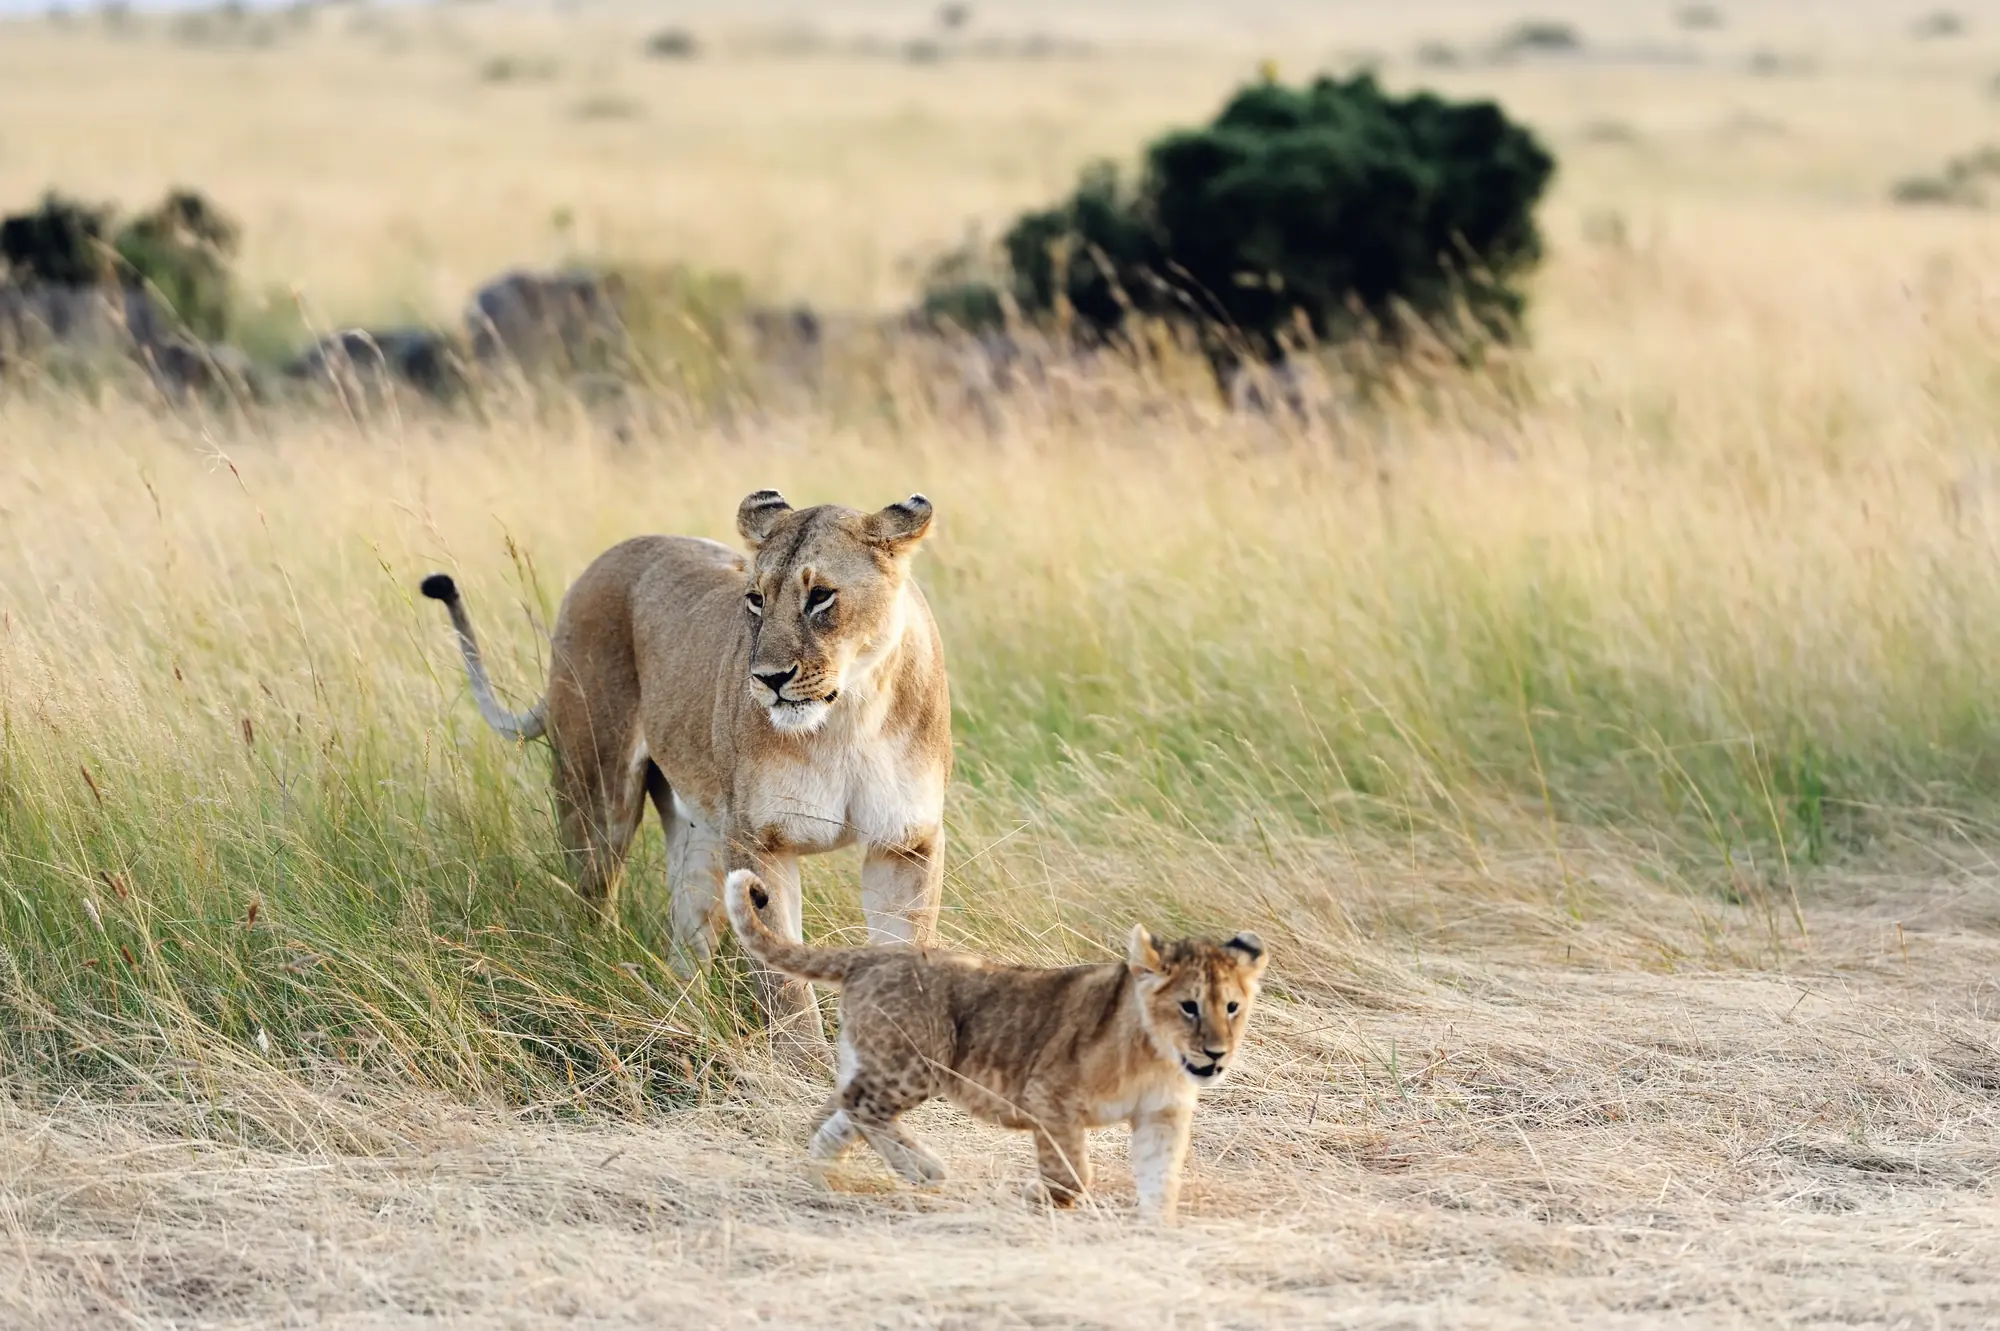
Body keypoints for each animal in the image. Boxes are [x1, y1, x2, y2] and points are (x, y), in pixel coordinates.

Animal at [420, 490, 952, 1039]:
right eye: (756, 599)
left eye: (821, 596)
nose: (768, 678)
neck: (849, 718)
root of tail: (608, 557)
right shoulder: (760, 840)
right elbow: (787, 992)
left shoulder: (904, 843)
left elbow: (905, 959)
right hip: (598, 792)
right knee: (591, 898)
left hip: (702, 834)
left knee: (687, 939)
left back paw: (685, 1024)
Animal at [724, 868, 1268, 1222]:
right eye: (1189, 1007)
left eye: (1232, 1007)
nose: (1217, 1054)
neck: (1158, 1057)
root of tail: (869, 956)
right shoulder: (1048, 1098)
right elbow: (1071, 1173)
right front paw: (1039, 1198)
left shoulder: (1161, 1115)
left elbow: (1161, 1178)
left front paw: (1156, 1231)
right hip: (916, 1061)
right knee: (860, 1105)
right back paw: (924, 1168)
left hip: (877, 1061)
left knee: (839, 1111)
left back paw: (822, 1176)